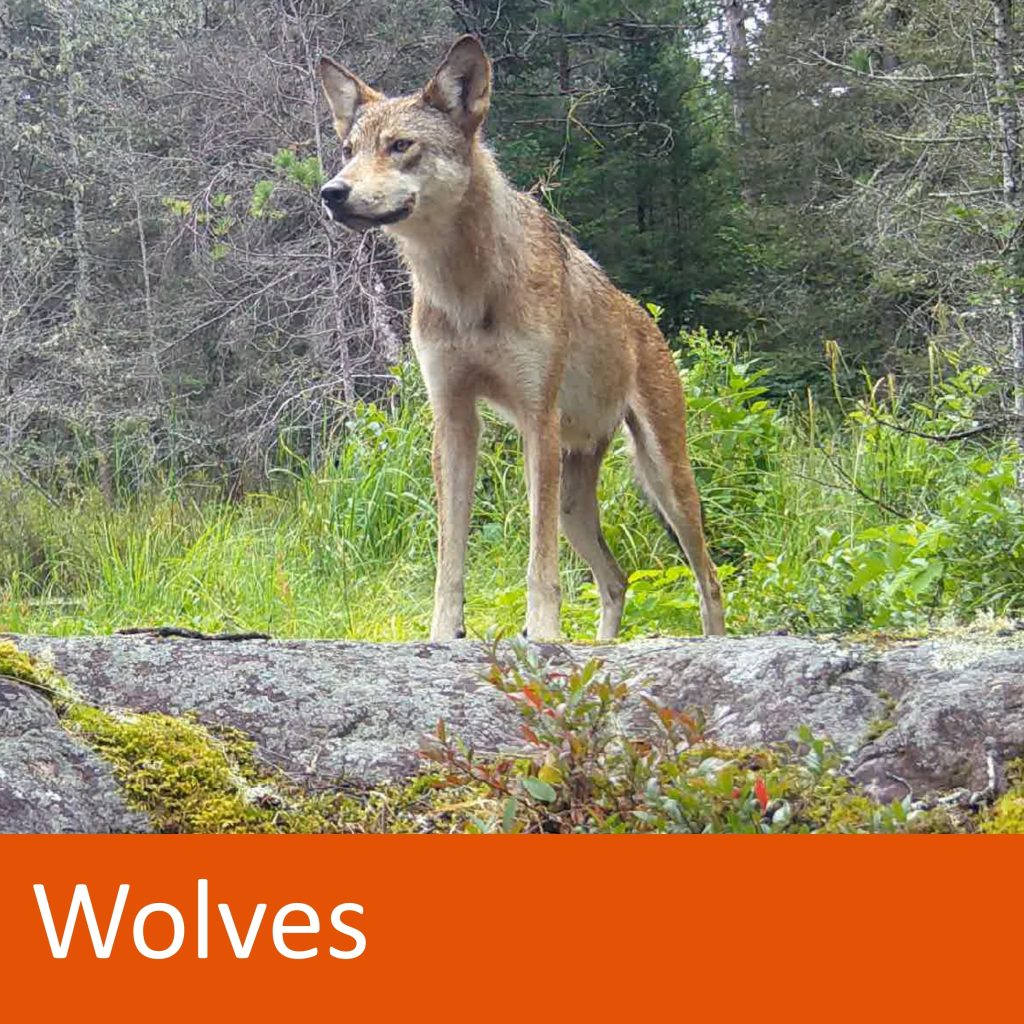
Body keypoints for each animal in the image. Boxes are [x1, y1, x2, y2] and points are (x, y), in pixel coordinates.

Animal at [318, 35, 725, 641]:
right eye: (348, 150)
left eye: (400, 146)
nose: (332, 192)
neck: (465, 290)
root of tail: (643, 317)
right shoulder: (453, 419)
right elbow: (449, 557)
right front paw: (443, 635)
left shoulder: (537, 418)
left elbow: (539, 561)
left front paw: (544, 635)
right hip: (577, 502)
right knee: (617, 580)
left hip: (664, 482)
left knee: (707, 578)